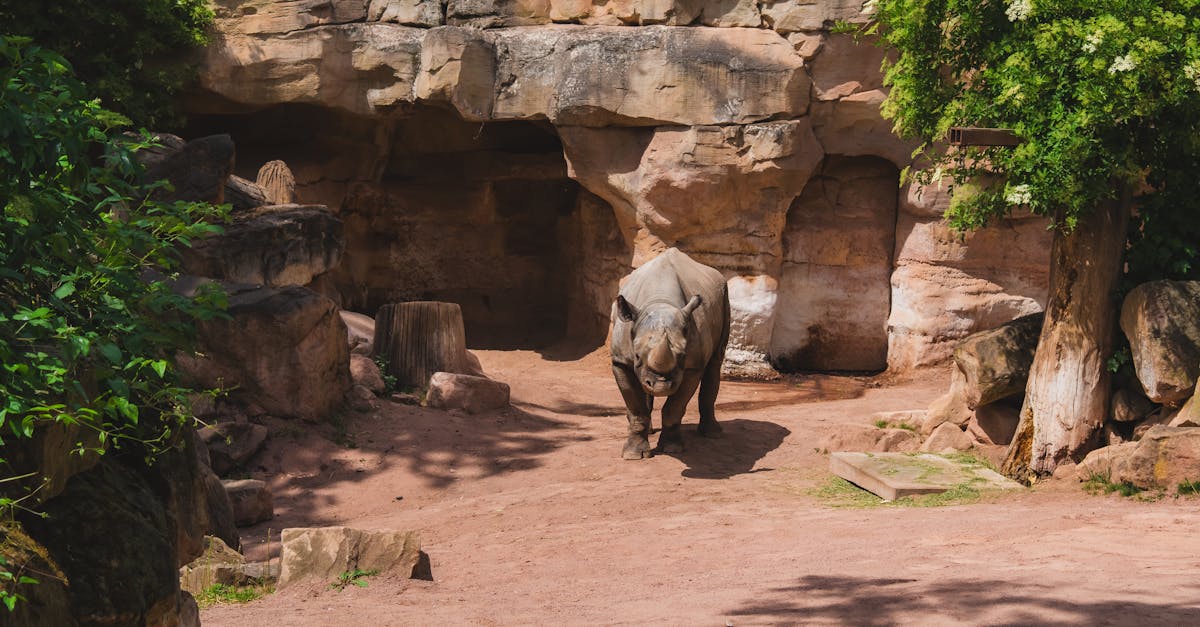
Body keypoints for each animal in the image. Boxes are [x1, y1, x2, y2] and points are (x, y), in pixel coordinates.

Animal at [610, 248, 730, 459]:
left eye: (682, 356)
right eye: (637, 356)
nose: (661, 386)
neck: (660, 301)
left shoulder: (693, 367)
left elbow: (674, 408)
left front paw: (672, 448)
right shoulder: (620, 361)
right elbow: (636, 409)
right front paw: (633, 454)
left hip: (724, 294)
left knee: (715, 362)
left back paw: (712, 434)